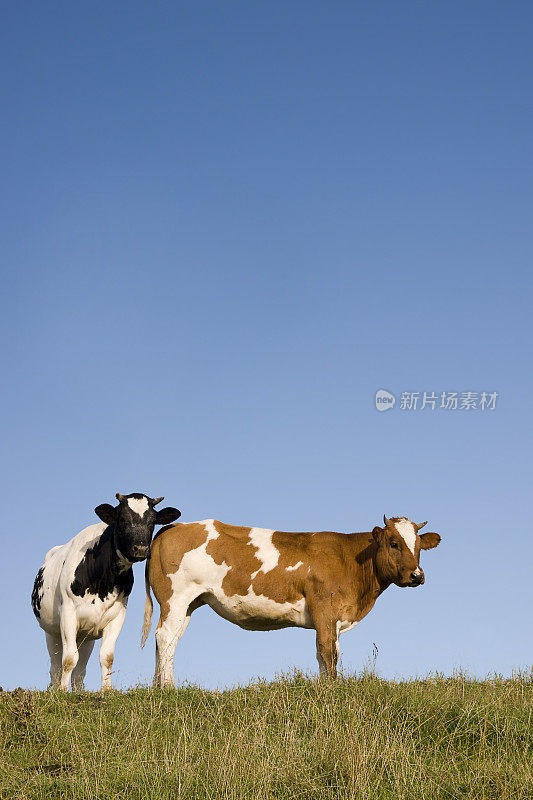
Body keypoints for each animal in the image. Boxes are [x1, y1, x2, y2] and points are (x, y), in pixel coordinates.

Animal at [32, 490, 181, 692]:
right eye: (123, 519)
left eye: (152, 521)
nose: (141, 549)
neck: (102, 580)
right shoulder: (68, 614)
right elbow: (68, 659)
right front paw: (62, 692)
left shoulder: (116, 616)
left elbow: (107, 656)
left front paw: (107, 690)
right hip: (52, 631)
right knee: (55, 667)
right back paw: (57, 690)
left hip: (86, 636)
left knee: (80, 670)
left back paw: (78, 691)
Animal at [141, 516, 440, 684]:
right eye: (393, 543)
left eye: (418, 547)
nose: (416, 575)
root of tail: (175, 526)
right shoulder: (324, 609)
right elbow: (327, 653)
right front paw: (331, 690)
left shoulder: (334, 618)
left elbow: (329, 653)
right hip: (176, 598)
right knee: (165, 637)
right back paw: (169, 688)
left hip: (189, 603)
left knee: (167, 639)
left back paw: (157, 687)